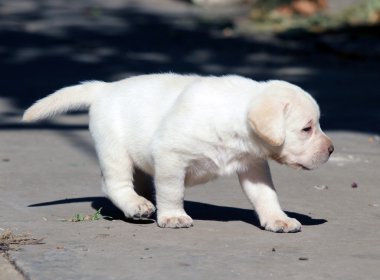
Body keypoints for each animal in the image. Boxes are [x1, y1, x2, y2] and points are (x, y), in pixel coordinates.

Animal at [23, 73, 332, 233]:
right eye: (307, 128)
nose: (331, 150)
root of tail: (105, 88)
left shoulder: (252, 166)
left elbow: (266, 196)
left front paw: (278, 219)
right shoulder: (170, 156)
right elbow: (172, 190)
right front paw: (172, 216)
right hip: (114, 150)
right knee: (115, 184)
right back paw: (135, 205)